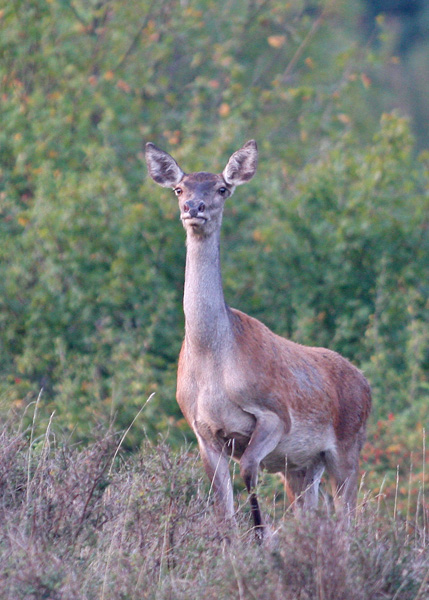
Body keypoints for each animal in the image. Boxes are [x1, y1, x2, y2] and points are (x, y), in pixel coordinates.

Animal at [145, 142, 372, 544]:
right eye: (179, 189)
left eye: (221, 188)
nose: (193, 208)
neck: (213, 358)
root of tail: (367, 384)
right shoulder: (203, 431)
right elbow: (222, 507)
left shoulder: (274, 415)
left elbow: (249, 470)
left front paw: (261, 535)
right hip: (303, 466)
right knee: (310, 511)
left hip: (347, 446)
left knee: (348, 514)